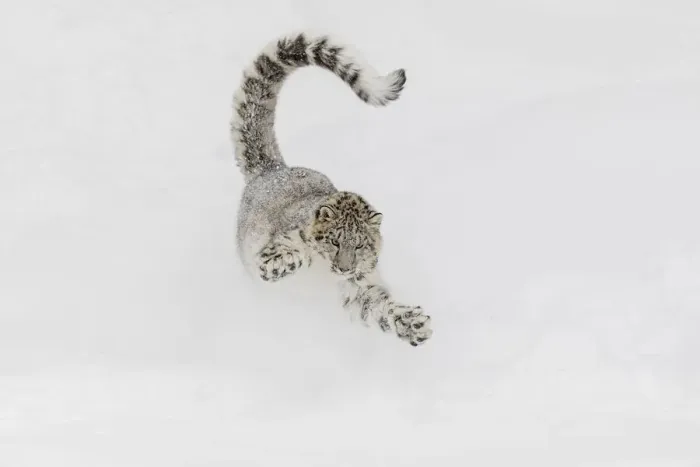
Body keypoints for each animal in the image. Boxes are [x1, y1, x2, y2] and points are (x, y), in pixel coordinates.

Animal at [231, 32, 432, 347]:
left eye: (360, 245)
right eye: (334, 241)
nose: (345, 268)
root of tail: (273, 170)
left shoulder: (359, 288)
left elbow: (379, 307)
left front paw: (413, 324)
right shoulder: (273, 247)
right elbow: (286, 254)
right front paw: (284, 263)